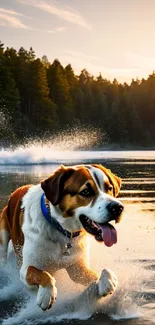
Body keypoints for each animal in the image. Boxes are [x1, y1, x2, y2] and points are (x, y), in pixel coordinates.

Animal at [0, 163, 123, 310]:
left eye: (109, 188)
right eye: (86, 192)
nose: (118, 207)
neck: (62, 230)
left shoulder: (76, 268)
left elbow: (101, 272)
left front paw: (107, 281)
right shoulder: (25, 270)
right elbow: (43, 274)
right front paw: (46, 295)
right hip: (3, 237)